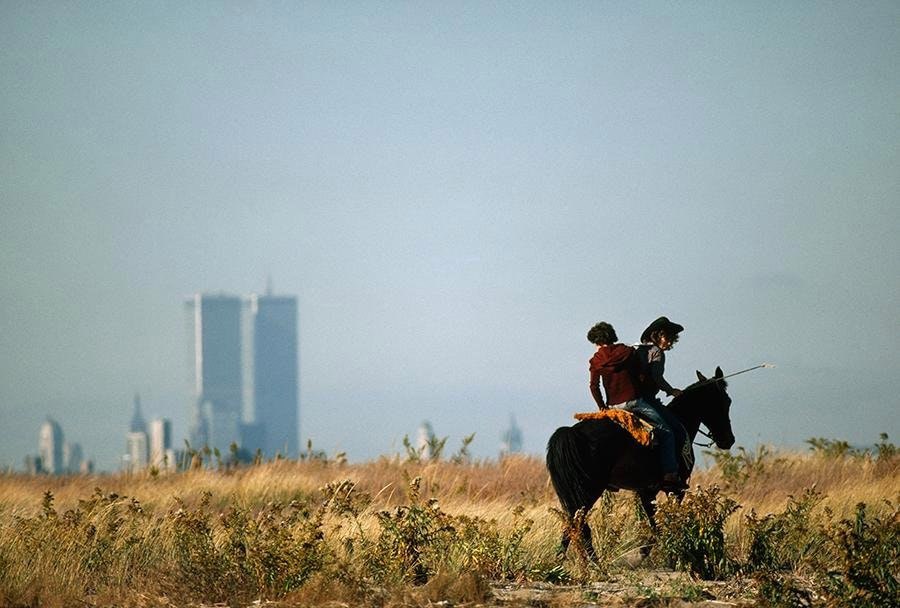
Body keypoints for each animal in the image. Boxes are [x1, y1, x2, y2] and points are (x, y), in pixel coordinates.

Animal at [544, 364, 736, 560]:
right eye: (725, 401)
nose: (728, 440)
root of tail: (571, 432)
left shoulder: (647, 491)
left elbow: (654, 524)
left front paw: (643, 552)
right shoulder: (676, 490)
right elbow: (664, 524)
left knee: (571, 526)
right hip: (588, 491)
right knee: (577, 525)